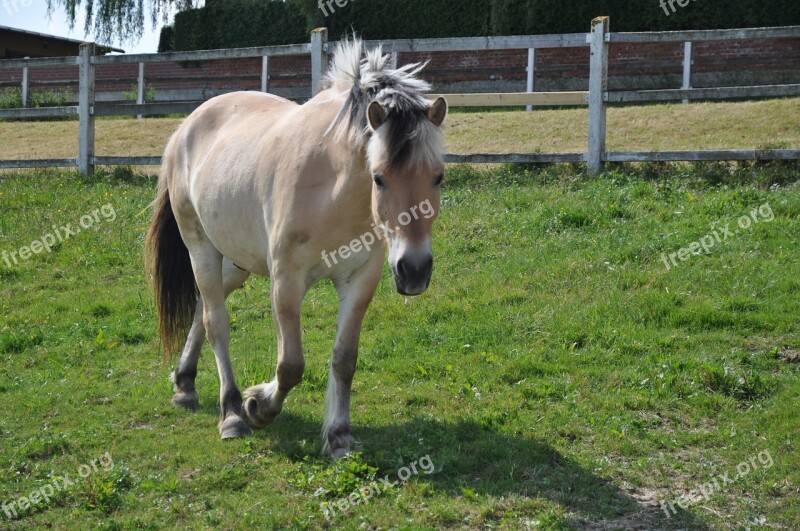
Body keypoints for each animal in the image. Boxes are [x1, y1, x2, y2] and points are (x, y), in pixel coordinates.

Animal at [147, 39, 446, 460]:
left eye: (438, 177)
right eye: (379, 178)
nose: (415, 271)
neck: (332, 189)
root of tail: (184, 129)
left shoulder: (360, 281)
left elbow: (344, 359)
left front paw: (339, 437)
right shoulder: (286, 282)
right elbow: (290, 364)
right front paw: (257, 406)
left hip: (236, 261)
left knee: (203, 309)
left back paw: (185, 383)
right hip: (200, 247)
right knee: (216, 321)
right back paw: (231, 413)